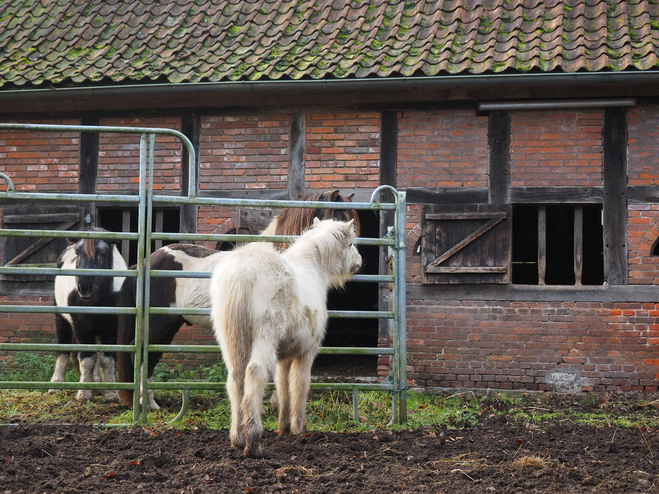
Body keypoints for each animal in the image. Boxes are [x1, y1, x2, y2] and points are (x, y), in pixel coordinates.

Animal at [49, 226, 127, 404]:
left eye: (103, 253)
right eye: (78, 252)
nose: (84, 287)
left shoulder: (110, 329)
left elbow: (106, 360)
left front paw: (110, 393)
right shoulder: (81, 328)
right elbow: (86, 359)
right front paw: (84, 393)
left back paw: (97, 384)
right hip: (61, 320)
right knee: (63, 349)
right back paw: (56, 385)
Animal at [114, 189, 360, 410]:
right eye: (339, 220)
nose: (358, 261)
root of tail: (146, 262)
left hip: (170, 325)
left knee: (151, 354)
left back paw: (151, 403)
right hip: (158, 323)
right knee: (138, 353)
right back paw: (145, 402)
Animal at [211, 218, 364, 458]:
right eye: (350, 244)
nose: (359, 262)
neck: (313, 270)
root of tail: (244, 271)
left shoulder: (283, 357)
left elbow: (282, 388)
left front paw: (283, 429)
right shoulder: (306, 353)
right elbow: (299, 385)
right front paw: (300, 429)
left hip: (232, 341)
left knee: (236, 379)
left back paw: (237, 438)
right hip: (264, 337)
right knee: (254, 373)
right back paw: (253, 442)